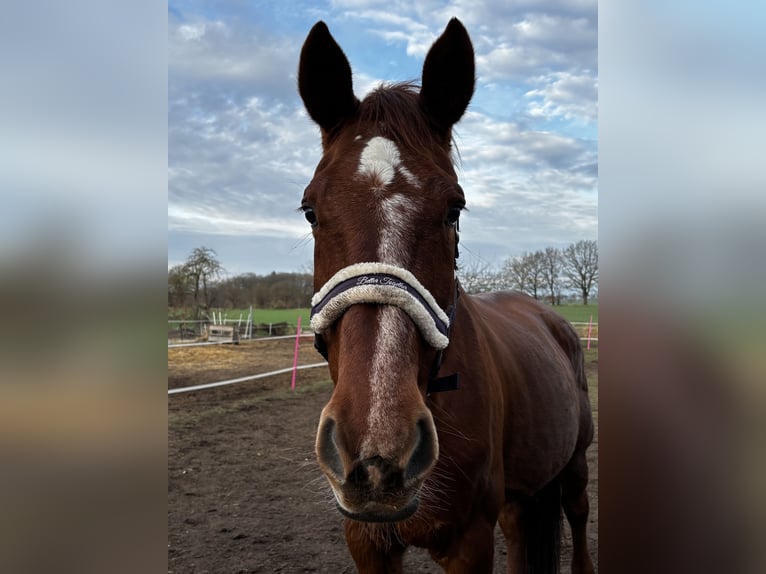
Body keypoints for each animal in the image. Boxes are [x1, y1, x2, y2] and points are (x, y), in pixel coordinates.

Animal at [297, 18, 595, 574]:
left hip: (575, 463)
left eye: (454, 209)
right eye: (310, 211)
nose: (378, 451)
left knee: (580, 514)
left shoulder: (469, 541)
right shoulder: (366, 541)